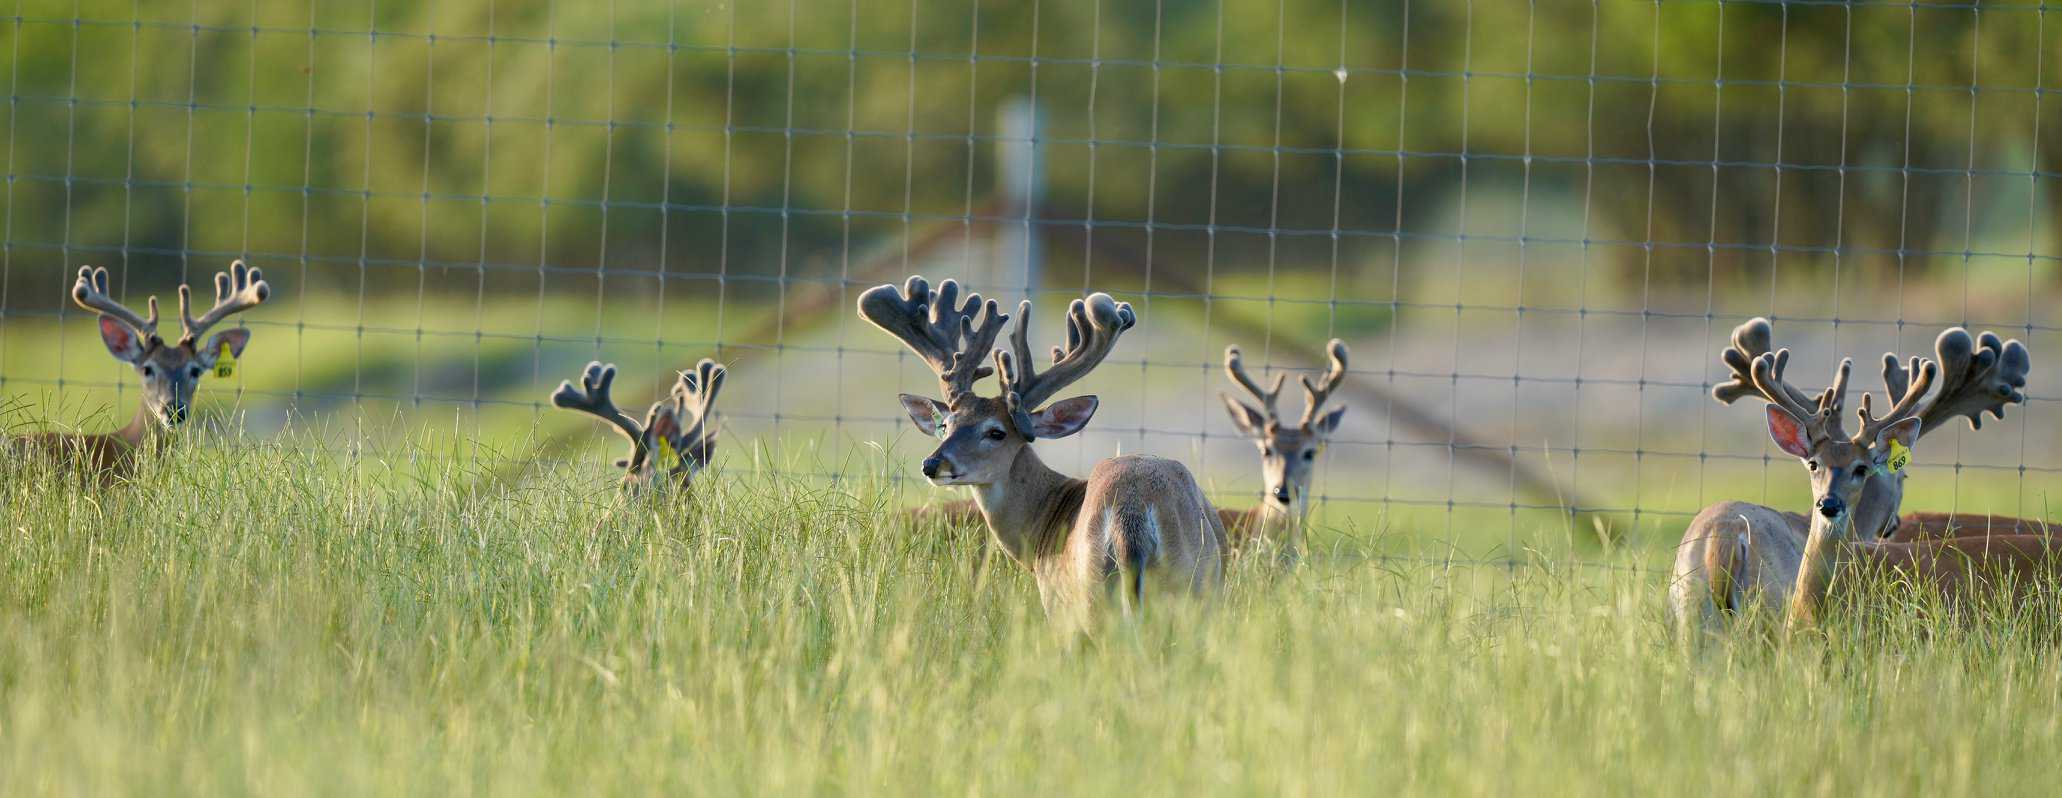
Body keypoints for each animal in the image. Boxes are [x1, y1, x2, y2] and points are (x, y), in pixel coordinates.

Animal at [860, 276, 1225, 630]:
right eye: (946, 425)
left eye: (996, 432)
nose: (933, 464)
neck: (1044, 519)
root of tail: (1131, 510)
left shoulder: (1054, 598)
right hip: (1191, 589)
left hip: (1092, 593)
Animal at [1668, 317, 2054, 642]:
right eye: (1903, 475)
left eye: (1862, 468)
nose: (1894, 524)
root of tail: (1724, 540)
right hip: (1767, 607)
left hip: (1690, 614)